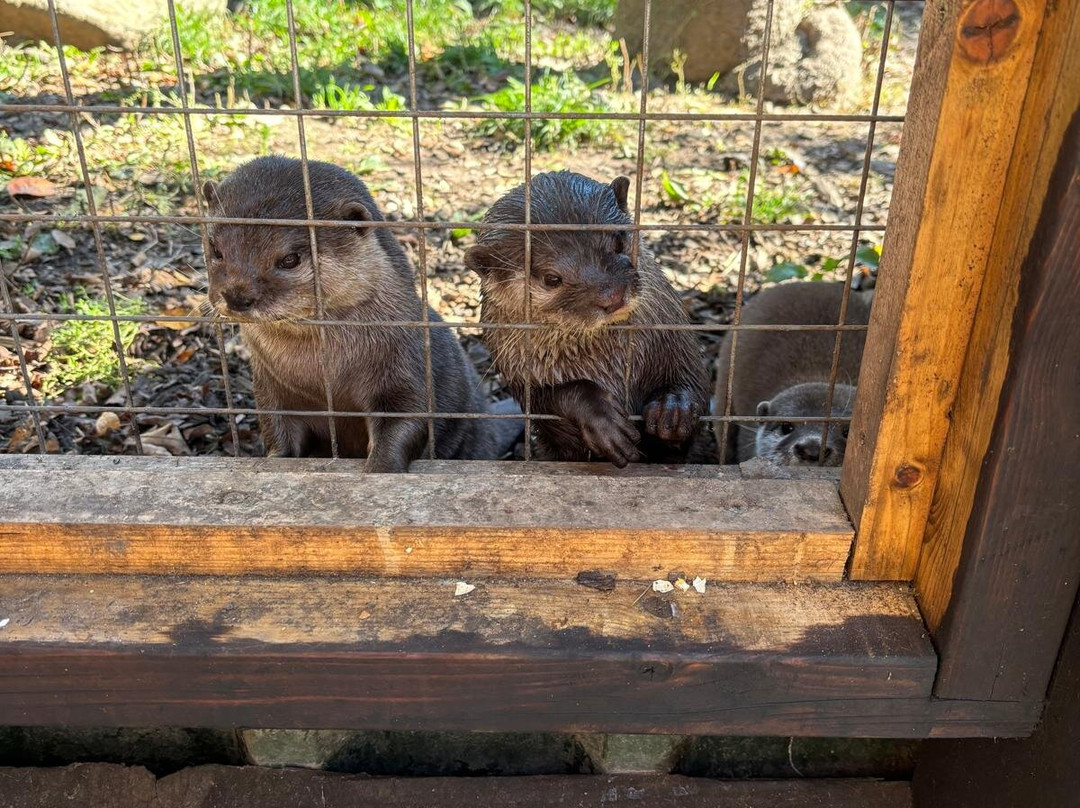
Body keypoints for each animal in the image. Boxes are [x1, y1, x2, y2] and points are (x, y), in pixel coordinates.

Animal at [204, 156, 508, 470]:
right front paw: (276, 459)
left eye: (290, 259)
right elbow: (276, 428)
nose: (236, 295)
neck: (322, 372)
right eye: (215, 249)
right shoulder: (270, 384)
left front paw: (382, 467)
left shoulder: (406, 363)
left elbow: (408, 418)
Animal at [465, 171, 709, 467]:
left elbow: (692, 379)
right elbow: (550, 398)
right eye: (552, 278)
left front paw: (672, 407)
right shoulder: (518, 371)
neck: (606, 361)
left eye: (618, 242)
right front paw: (602, 419)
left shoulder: (673, 337)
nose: (612, 296)